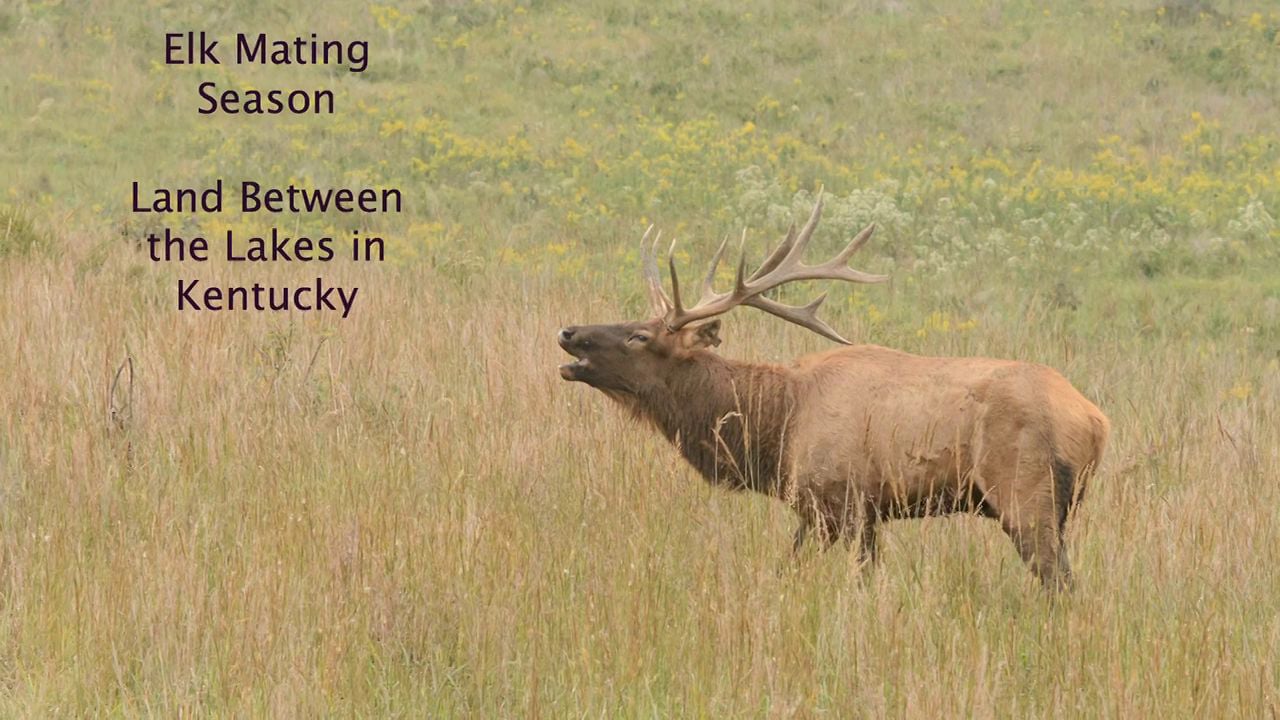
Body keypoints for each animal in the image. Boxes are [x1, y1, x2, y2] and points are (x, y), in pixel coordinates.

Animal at [557, 197, 1110, 590]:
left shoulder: (839, 500)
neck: (777, 430)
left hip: (1026, 491)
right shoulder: (844, 512)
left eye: (639, 336)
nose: (568, 332)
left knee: (1060, 582)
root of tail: (1096, 422)